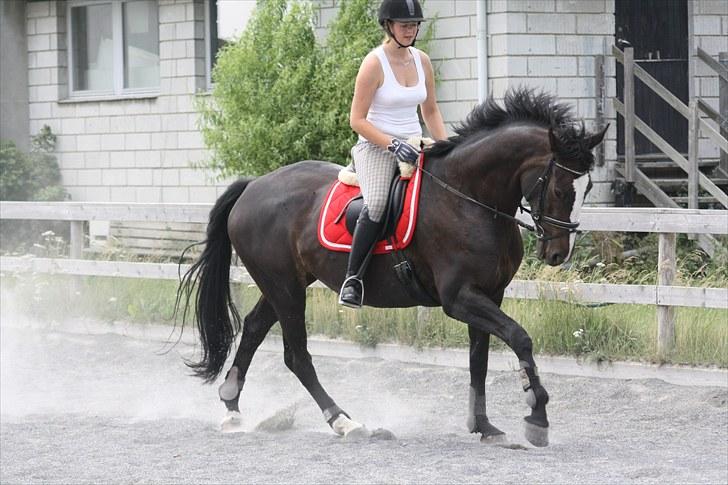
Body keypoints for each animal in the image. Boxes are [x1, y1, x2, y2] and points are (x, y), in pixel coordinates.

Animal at [178, 88, 608, 446]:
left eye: (587, 187)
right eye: (560, 189)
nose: (558, 253)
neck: (469, 199)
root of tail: (253, 186)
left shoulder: (489, 294)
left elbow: (479, 360)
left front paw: (484, 426)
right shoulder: (460, 298)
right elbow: (520, 338)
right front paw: (537, 415)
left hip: (284, 284)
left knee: (252, 329)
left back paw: (233, 409)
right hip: (285, 288)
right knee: (296, 356)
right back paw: (344, 421)